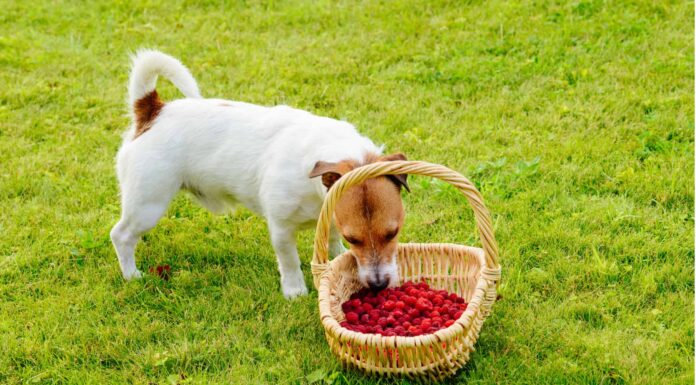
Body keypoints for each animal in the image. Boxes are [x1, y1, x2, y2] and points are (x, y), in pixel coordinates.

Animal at [109, 50, 408, 296]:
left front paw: (338, 261)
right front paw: (295, 291)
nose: (379, 284)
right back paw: (132, 275)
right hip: (148, 204)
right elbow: (289, 261)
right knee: (121, 235)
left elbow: (332, 241)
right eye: (354, 238)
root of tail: (152, 111)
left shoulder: (331, 213)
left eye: (393, 233)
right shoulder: (281, 229)